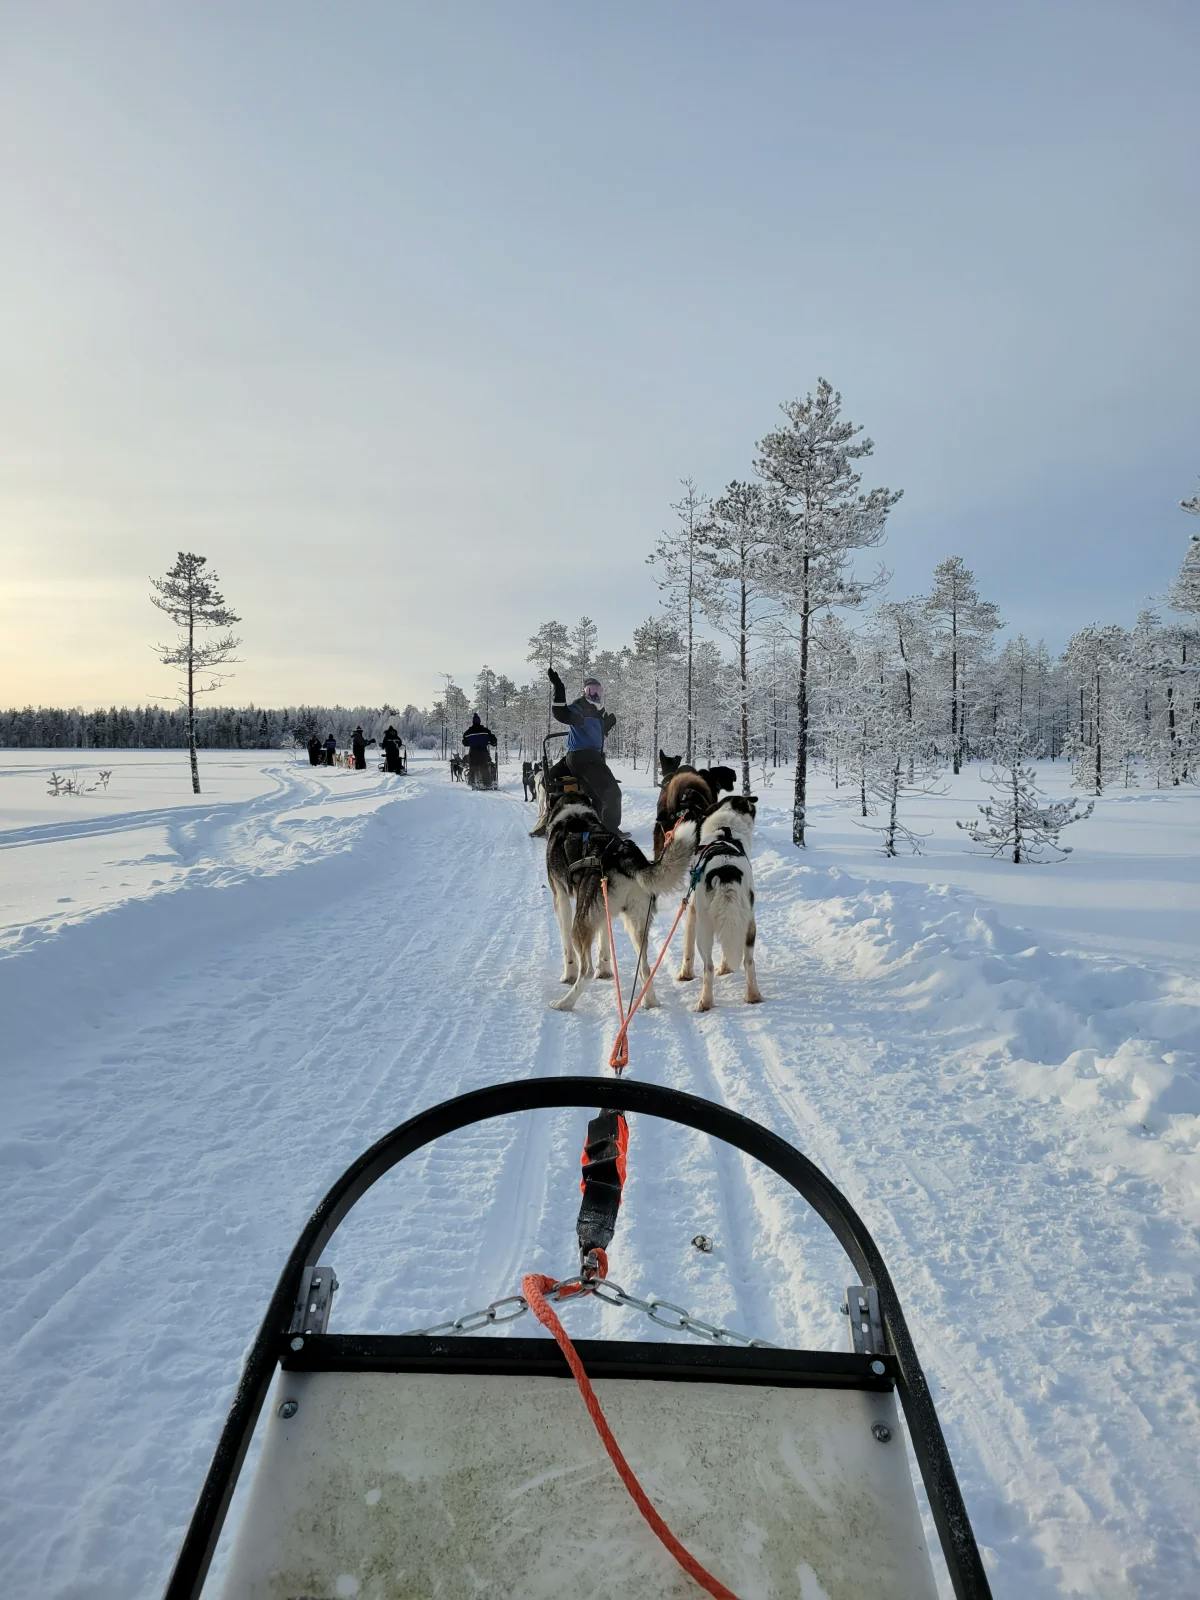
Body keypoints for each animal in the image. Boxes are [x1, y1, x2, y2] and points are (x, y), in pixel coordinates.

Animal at [544, 790, 694, 1004]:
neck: (573, 813)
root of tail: (625, 856)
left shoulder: (561, 898)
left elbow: (567, 949)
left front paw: (568, 975)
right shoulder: (603, 914)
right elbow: (605, 942)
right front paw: (606, 970)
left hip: (580, 922)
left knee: (586, 970)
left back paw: (564, 1002)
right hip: (635, 924)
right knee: (645, 969)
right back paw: (650, 1003)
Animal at [681, 796, 764, 1011]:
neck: (725, 830)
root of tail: (726, 871)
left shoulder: (692, 910)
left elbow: (687, 949)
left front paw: (685, 974)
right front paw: (726, 968)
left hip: (704, 928)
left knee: (708, 967)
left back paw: (705, 1001)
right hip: (749, 924)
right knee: (749, 961)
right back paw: (753, 995)